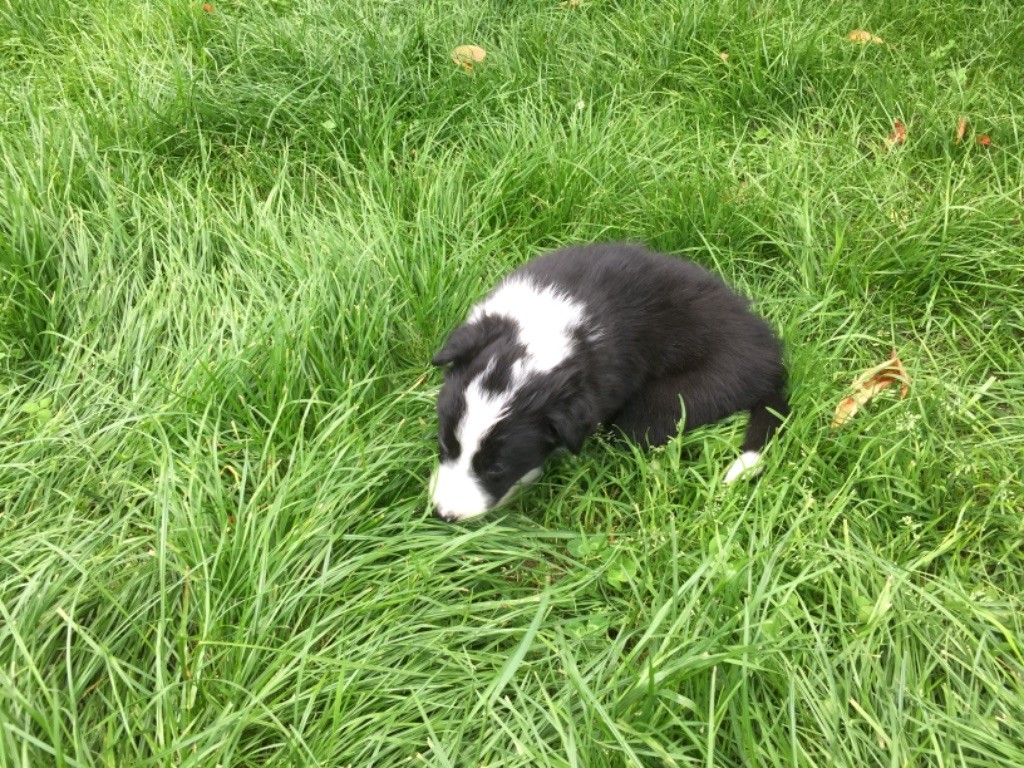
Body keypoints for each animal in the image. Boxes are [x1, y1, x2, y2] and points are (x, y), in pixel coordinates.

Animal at [428, 243, 788, 521]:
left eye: (497, 469)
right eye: (445, 445)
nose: (444, 515)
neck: (543, 328)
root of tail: (773, 360)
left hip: (685, 395)